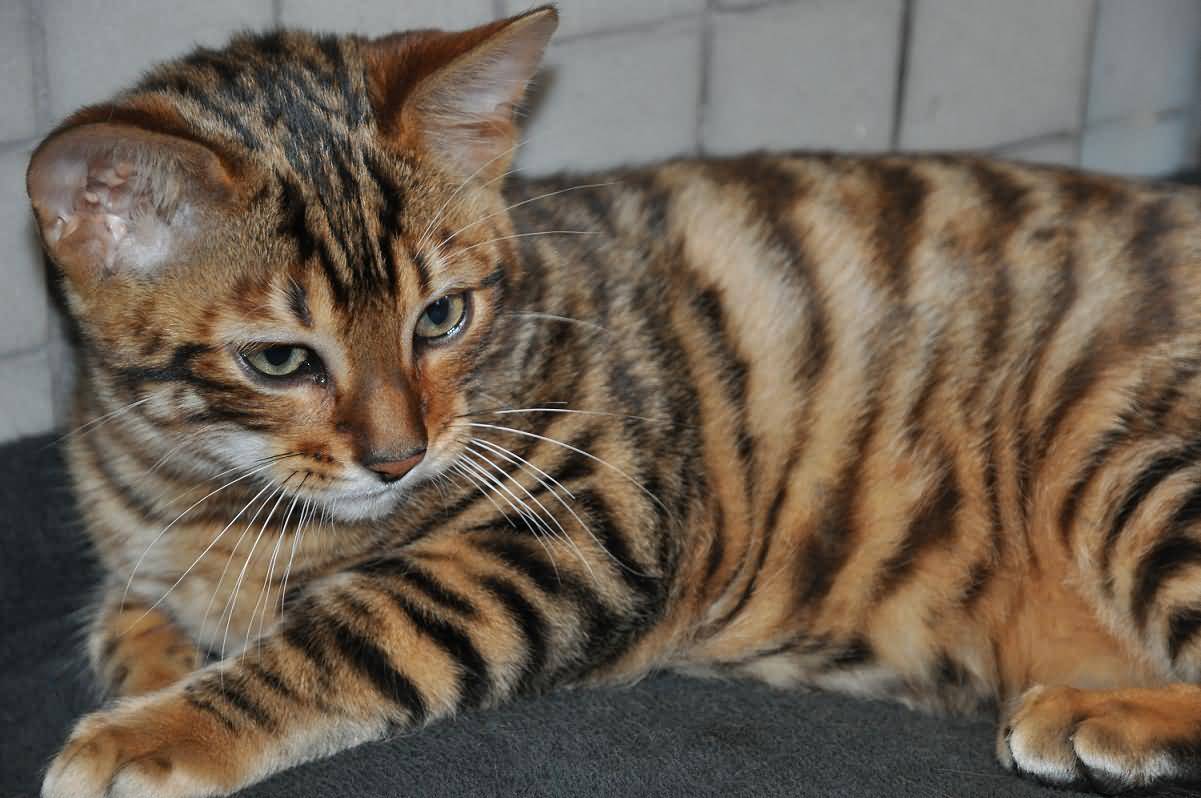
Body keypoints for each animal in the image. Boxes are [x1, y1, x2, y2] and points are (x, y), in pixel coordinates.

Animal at [23, 6, 1201, 798]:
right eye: (279, 361)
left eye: (440, 318)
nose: (400, 457)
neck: (206, 493)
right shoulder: (147, 544)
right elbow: (126, 615)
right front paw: (155, 672)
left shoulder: (587, 525)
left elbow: (351, 632)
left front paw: (156, 732)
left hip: (1131, 450)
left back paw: (1093, 714)